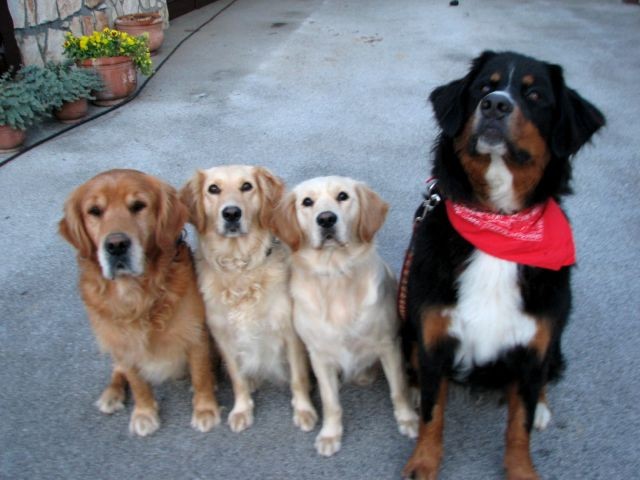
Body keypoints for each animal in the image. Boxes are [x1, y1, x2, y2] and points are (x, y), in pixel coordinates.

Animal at [60, 171, 220, 436]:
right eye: (94, 211)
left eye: (138, 206)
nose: (116, 245)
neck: (137, 296)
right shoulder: (122, 343)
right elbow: (137, 383)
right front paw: (144, 413)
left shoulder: (195, 334)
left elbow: (200, 376)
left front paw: (205, 410)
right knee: (117, 370)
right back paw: (111, 394)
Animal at [180, 167, 318, 434]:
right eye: (213, 189)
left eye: (246, 186)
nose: (232, 213)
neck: (240, 266)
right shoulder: (224, 336)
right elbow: (238, 379)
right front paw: (242, 410)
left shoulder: (289, 332)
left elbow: (298, 377)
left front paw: (304, 410)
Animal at [270, 176, 420, 458]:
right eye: (307, 202)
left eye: (343, 196)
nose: (327, 219)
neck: (335, 273)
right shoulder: (319, 354)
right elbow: (331, 402)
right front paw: (330, 434)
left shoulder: (388, 344)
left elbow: (399, 389)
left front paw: (407, 418)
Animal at [402, 50, 608, 478]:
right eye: (484, 85)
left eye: (535, 94)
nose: (495, 104)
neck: (498, 223)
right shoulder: (434, 334)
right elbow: (433, 412)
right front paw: (423, 462)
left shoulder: (533, 344)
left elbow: (519, 424)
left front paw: (522, 469)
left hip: (556, 331)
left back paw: (543, 407)